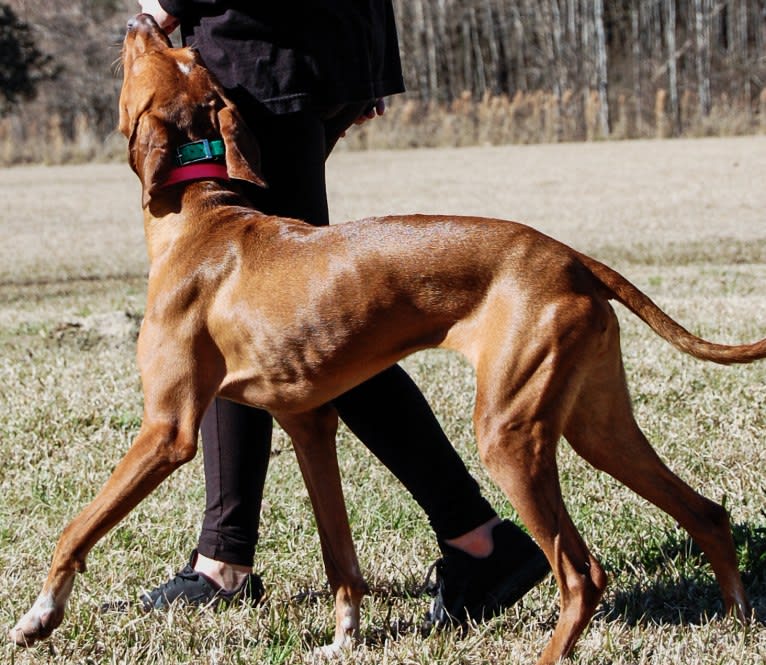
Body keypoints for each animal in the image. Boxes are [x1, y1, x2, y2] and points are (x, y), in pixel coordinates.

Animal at [9, 13, 764, 660]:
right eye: (185, 56)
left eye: (164, 57)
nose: (143, 20)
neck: (203, 217)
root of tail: (571, 256)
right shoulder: (309, 424)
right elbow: (341, 557)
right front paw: (343, 639)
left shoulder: (167, 430)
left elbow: (76, 527)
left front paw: (39, 615)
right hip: (597, 426)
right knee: (706, 513)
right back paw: (737, 619)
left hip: (511, 433)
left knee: (583, 573)